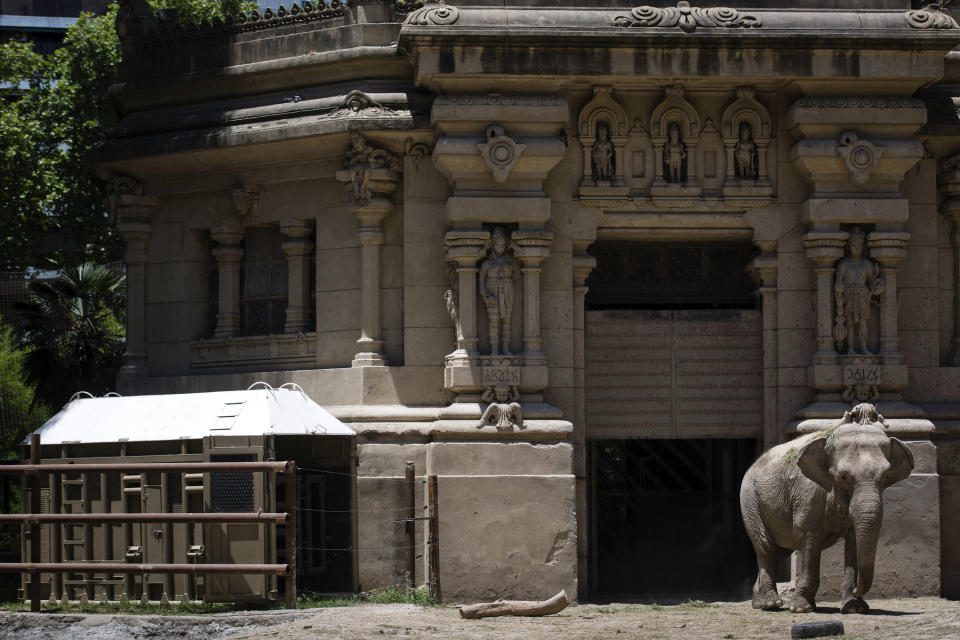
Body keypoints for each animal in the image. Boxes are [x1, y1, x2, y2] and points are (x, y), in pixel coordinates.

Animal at [740, 404, 912, 616]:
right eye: (843, 477)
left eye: (886, 475)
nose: (857, 590)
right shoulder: (807, 493)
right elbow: (809, 537)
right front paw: (801, 609)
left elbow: (853, 540)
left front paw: (854, 608)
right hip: (750, 501)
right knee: (766, 546)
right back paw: (770, 604)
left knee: (780, 551)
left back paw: (758, 601)